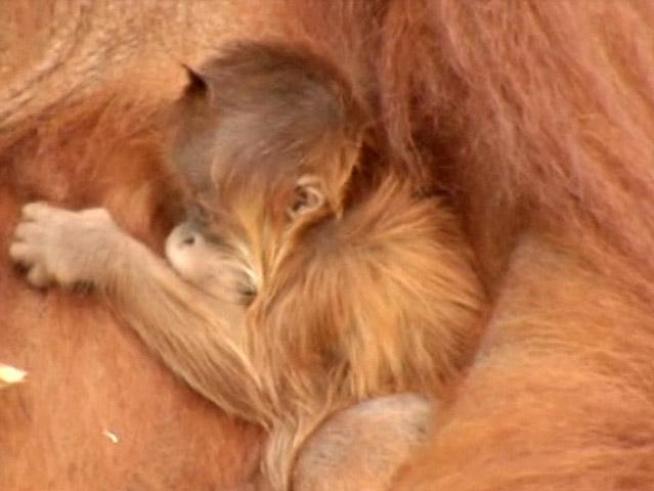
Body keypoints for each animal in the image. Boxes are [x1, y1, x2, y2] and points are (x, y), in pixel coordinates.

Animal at [9, 41, 483, 491]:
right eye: (185, 202)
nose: (183, 235)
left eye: (204, 211)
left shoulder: (326, 282)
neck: (319, 227)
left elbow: (258, 372)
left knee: (352, 438)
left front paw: (84, 244)